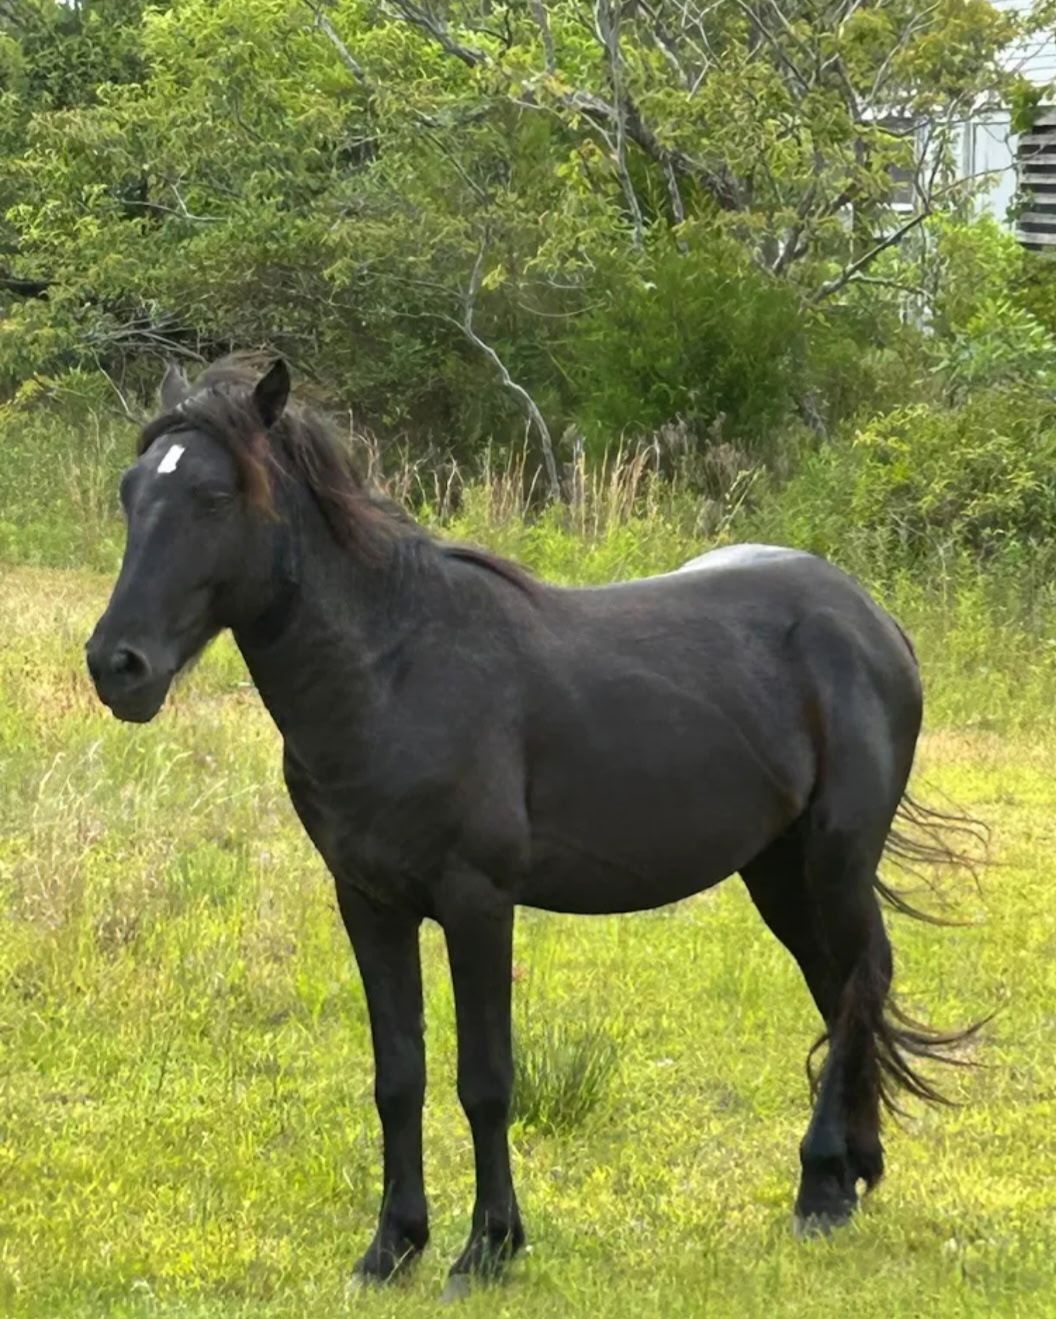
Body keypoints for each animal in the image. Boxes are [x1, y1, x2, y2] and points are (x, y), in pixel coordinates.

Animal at [86, 355, 977, 1297]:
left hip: (835, 859)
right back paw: (850, 1172)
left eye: (215, 497)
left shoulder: (477, 902)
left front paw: (489, 1245)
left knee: (855, 986)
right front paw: (393, 1245)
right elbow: (397, 1076)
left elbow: (485, 1078)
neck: (391, 670)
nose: (118, 665)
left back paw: (819, 1187)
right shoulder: (368, 902)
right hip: (776, 868)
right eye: (132, 490)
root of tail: (872, 618)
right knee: (846, 983)